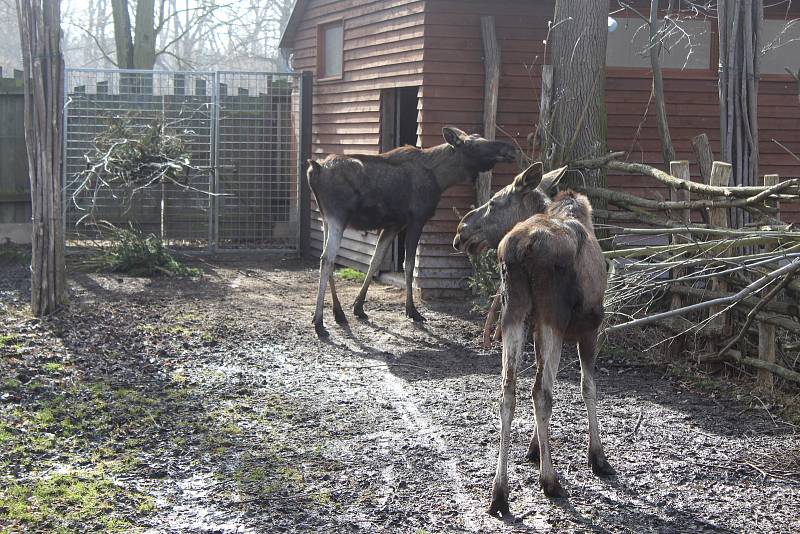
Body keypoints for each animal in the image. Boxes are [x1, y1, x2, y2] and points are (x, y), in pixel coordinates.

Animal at [310, 125, 516, 338]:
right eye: (473, 144)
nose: (509, 148)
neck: (441, 179)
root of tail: (315, 169)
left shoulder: (393, 225)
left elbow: (374, 261)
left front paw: (358, 307)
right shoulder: (417, 220)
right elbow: (409, 265)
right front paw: (412, 310)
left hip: (326, 218)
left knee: (327, 259)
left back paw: (338, 313)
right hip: (338, 216)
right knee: (326, 259)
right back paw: (319, 323)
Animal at [450, 162, 612, 516]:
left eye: (493, 202)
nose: (460, 231)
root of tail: (519, 248)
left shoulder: (537, 326)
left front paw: (535, 448)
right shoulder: (589, 327)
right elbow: (588, 387)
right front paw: (597, 457)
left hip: (513, 310)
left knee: (508, 390)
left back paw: (499, 492)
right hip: (553, 315)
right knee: (541, 392)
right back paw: (550, 482)